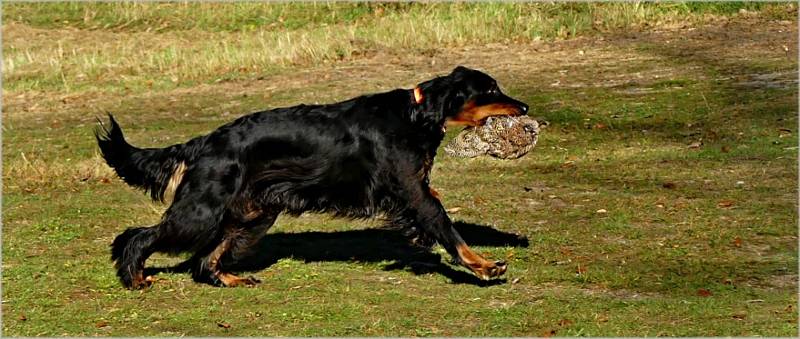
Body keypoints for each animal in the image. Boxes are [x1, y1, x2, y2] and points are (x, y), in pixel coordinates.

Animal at [97, 66, 528, 290]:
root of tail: (206, 141)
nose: (523, 107)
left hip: (252, 213)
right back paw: (134, 276)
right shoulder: (415, 193)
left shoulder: (417, 191)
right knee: (139, 236)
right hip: (202, 210)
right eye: (490, 89)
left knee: (205, 259)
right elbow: (450, 231)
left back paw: (231, 279)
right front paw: (484, 266)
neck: (415, 115)